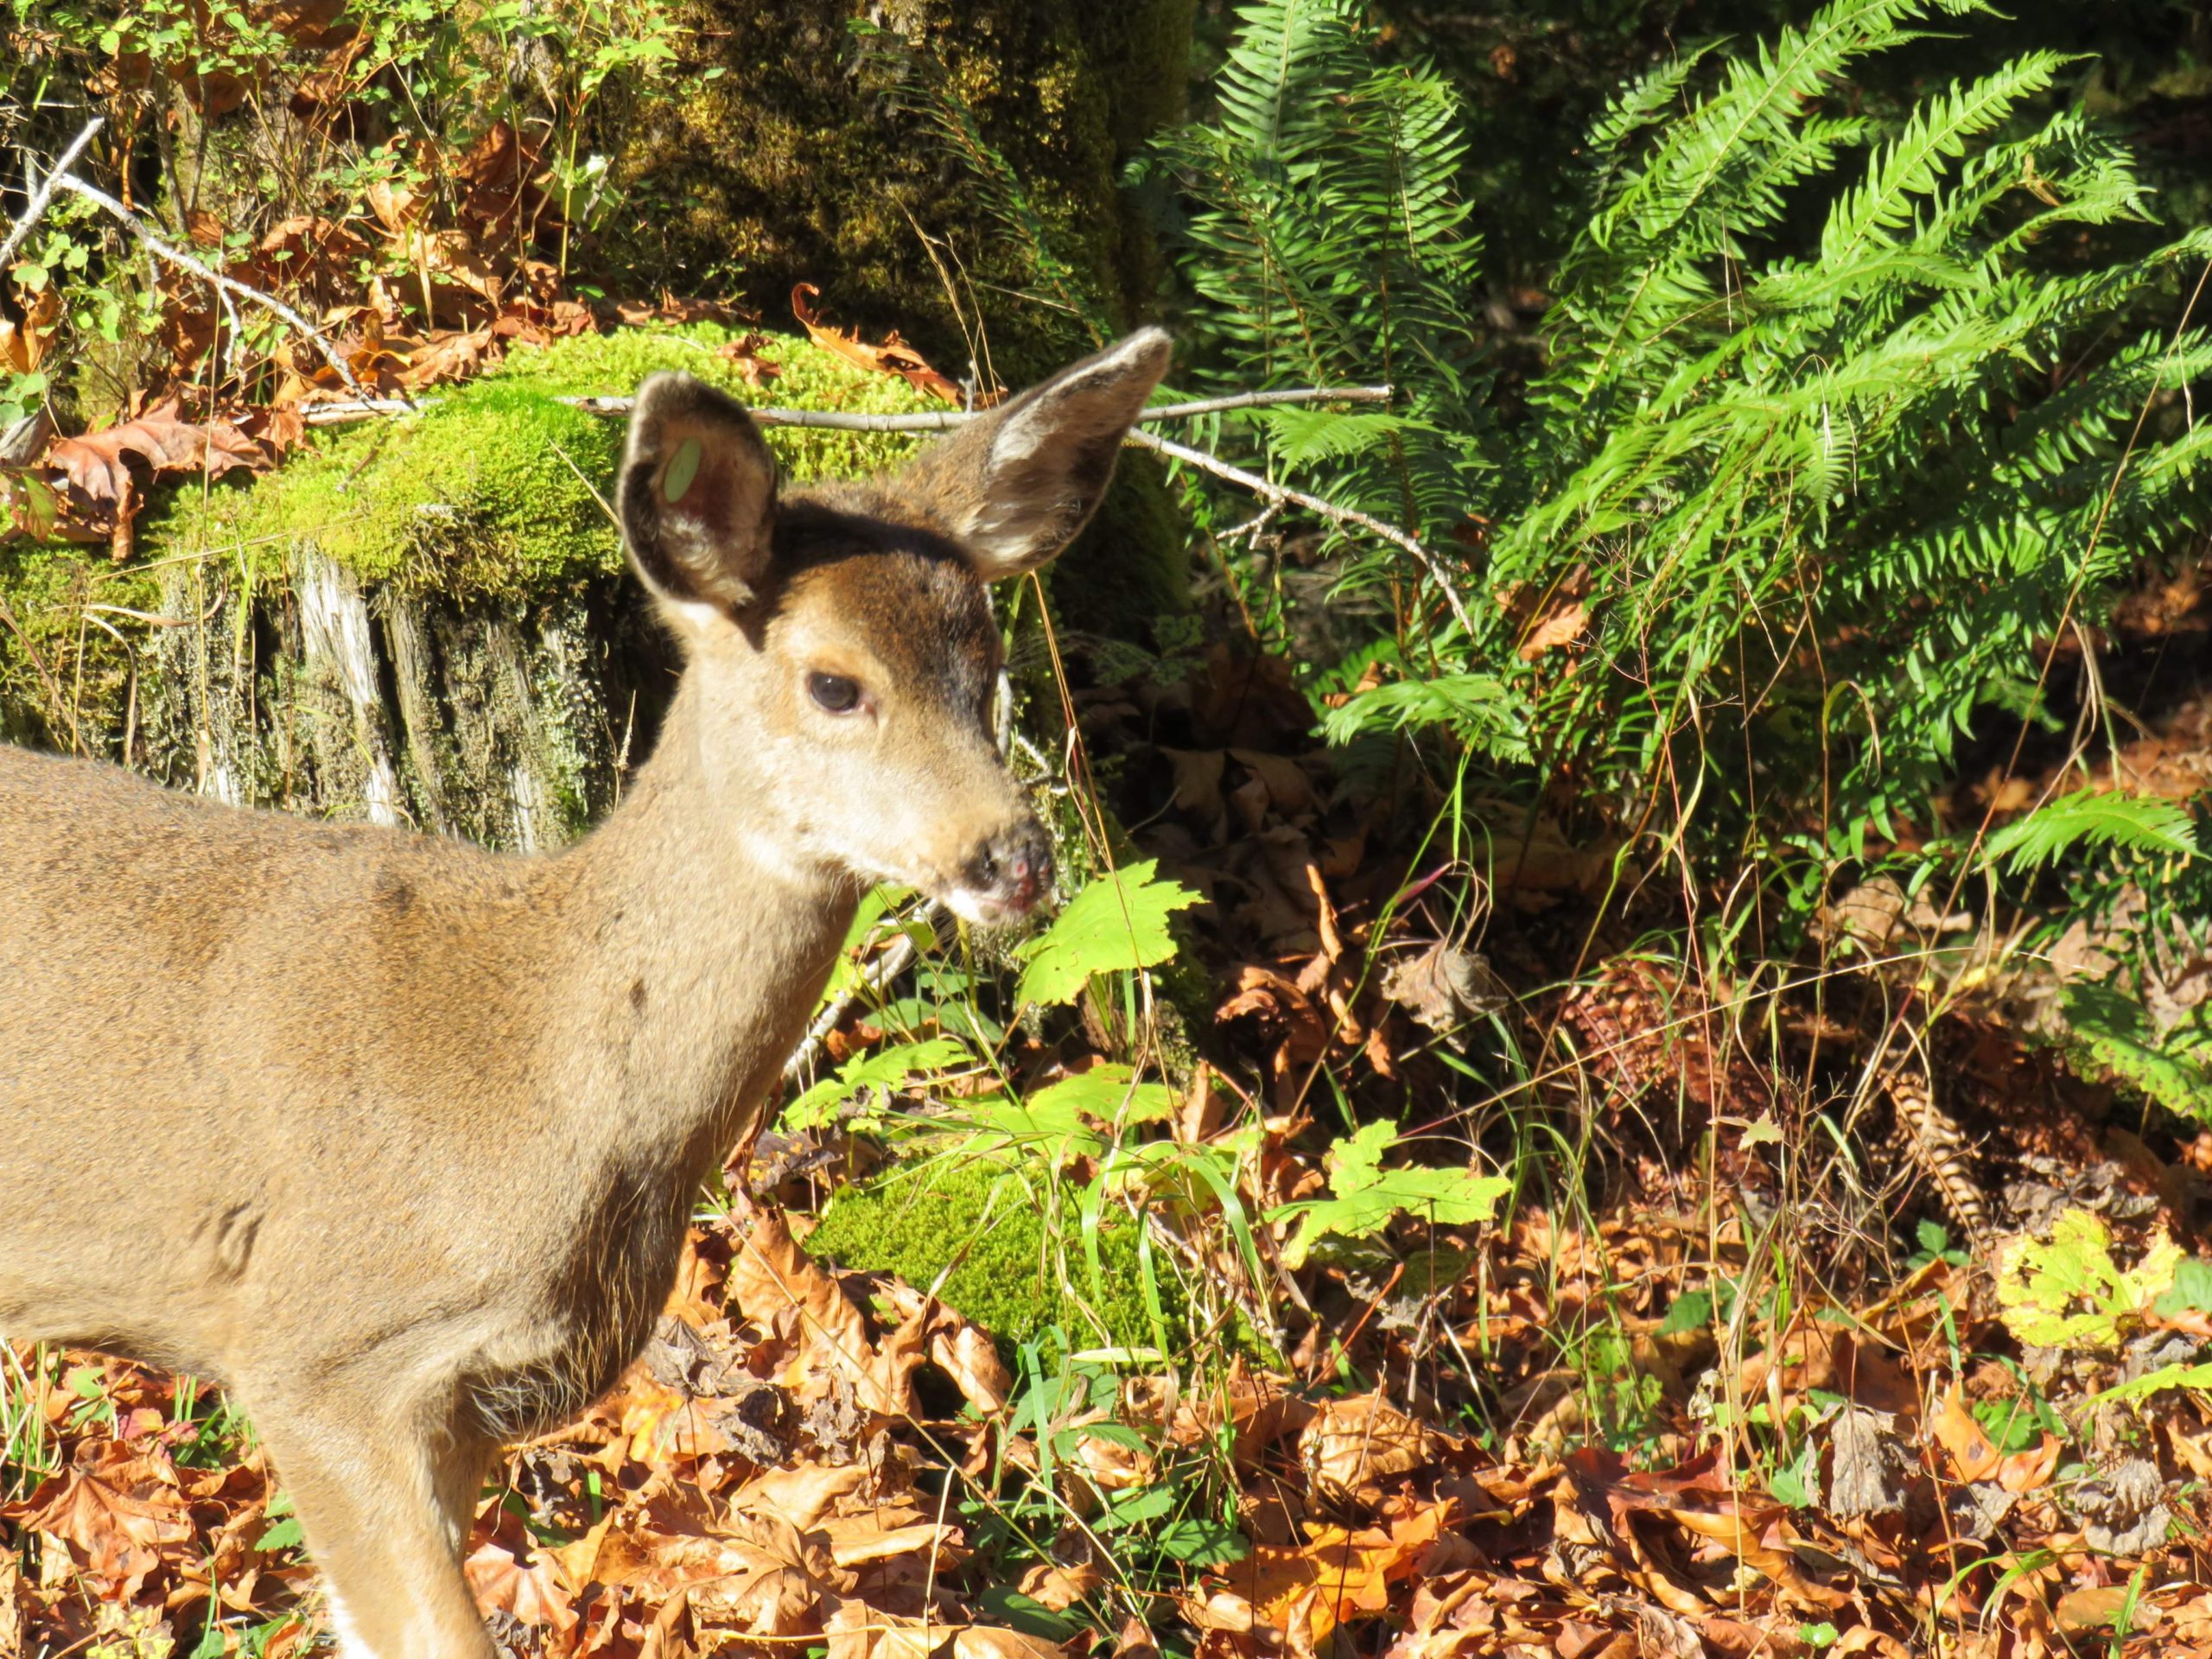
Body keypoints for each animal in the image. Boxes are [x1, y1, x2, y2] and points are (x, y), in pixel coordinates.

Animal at [0, 328, 1173, 1659]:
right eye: (834, 683)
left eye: (990, 663)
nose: (1013, 857)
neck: (546, 1079)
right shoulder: (314, 1348)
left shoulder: (456, 1410)